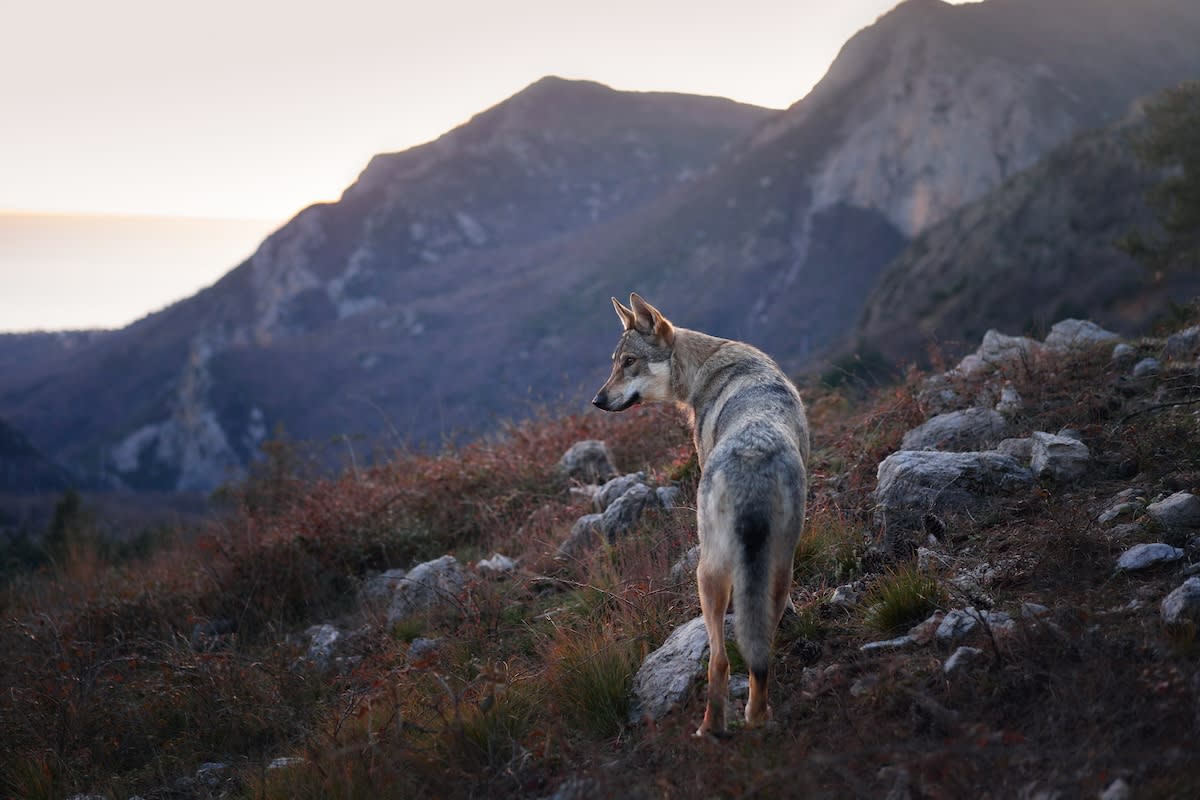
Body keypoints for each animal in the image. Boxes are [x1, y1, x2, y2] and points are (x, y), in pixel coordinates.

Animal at [590, 293, 806, 738]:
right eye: (615, 362)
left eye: (629, 362)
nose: (597, 401)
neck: (707, 367)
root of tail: (752, 460)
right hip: (780, 565)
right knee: (760, 654)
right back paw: (758, 718)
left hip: (706, 573)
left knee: (719, 660)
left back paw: (710, 729)